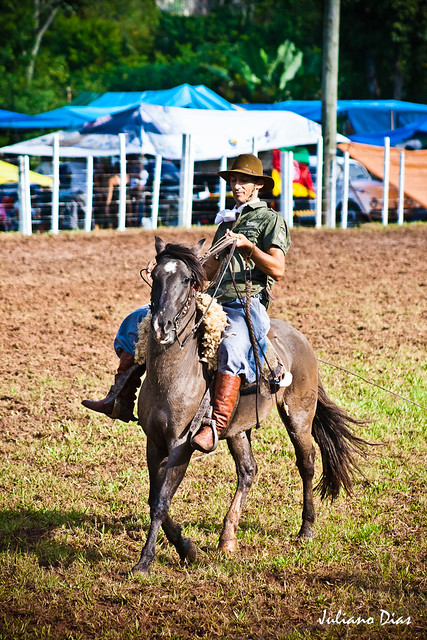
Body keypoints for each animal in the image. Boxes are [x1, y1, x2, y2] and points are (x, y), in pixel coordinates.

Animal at [135, 236, 372, 576]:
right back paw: (227, 538)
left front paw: (145, 561)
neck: (175, 375)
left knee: (307, 463)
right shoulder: (153, 443)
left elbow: (160, 502)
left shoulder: (181, 446)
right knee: (248, 471)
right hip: (236, 431)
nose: (161, 326)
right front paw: (188, 549)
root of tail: (301, 340)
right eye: (155, 276)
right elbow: (156, 499)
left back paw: (306, 529)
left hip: (299, 417)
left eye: (188, 279)